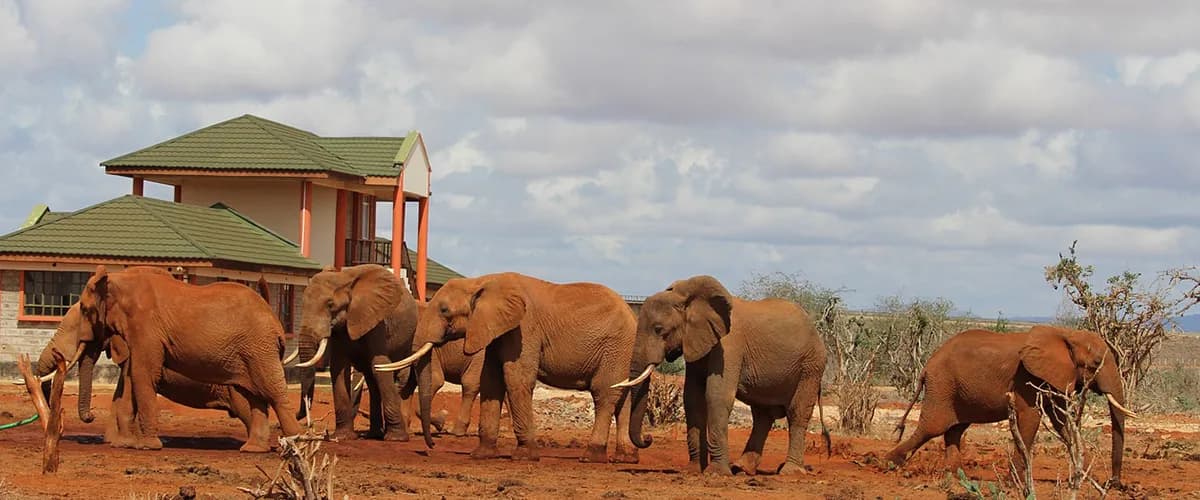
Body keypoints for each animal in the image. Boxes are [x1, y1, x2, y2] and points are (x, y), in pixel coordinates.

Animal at [75, 265, 302, 452]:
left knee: (273, 393)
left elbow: (143, 375)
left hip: (259, 347)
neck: (119, 280)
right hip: (251, 352)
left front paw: (147, 447)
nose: (91, 417)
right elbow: (135, 376)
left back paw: (295, 446)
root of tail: (273, 318)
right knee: (255, 395)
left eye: (85, 310)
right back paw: (253, 449)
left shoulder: (146, 327)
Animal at [292, 264, 425, 442]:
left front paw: (397, 439)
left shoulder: (377, 320)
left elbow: (380, 364)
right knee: (372, 379)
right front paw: (343, 436)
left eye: (330, 304)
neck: (344, 279)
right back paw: (374, 434)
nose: (298, 416)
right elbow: (338, 367)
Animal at [378, 272, 639, 463]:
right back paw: (625, 458)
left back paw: (591, 456)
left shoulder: (524, 328)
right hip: (623, 350)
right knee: (623, 396)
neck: (480, 282)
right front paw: (481, 455)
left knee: (604, 393)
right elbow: (491, 382)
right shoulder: (494, 331)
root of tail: (632, 313)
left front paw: (524, 456)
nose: (431, 446)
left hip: (615, 346)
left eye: (444, 310)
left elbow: (516, 379)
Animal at [615, 275, 830, 476]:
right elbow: (692, 398)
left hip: (811, 366)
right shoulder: (697, 341)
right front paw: (694, 470)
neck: (687, 298)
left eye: (659, 329)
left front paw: (716, 473)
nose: (648, 438)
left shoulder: (729, 346)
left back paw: (789, 471)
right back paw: (742, 469)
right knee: (762, 415)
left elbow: (716, 396)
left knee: (797, 412)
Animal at [884, 326, 1138, 485]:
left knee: (954, 430)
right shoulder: (1026, 377)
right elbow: (1030, 419)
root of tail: (927, 366)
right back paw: (889, 463)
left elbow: (1060, 421)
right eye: (1096, 363)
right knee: (932, 427)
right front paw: (1014, 483)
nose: (1114, 483)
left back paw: (955, 476)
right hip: (942, 385)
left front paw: (1082, 475)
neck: (1066, 333)